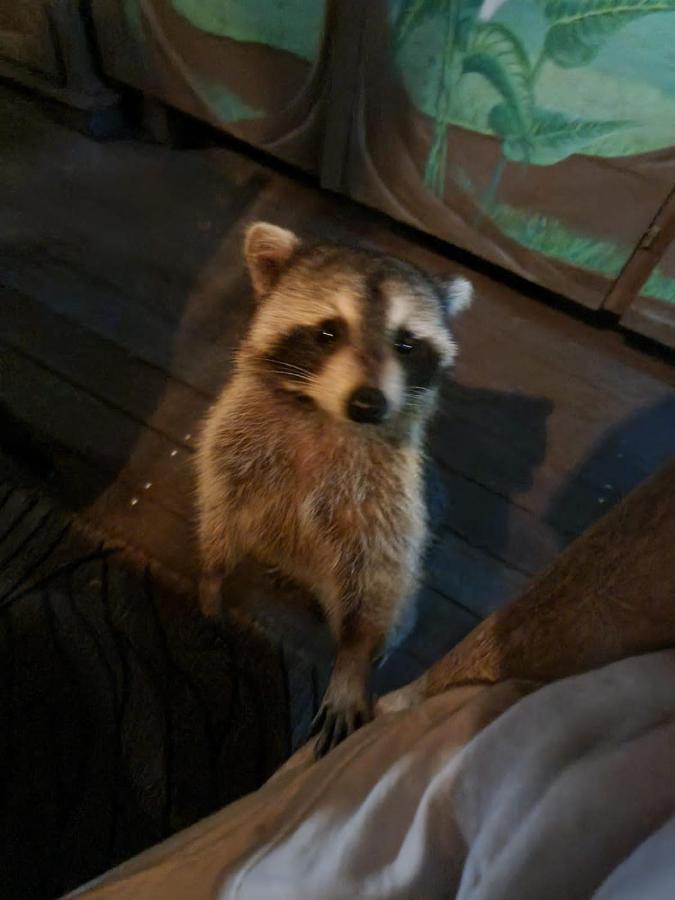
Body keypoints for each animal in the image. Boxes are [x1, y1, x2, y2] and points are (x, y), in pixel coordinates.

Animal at [194, 221, 470, 756]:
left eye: (407, 344)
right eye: (328, 332)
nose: (369, 403)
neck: (326, 417)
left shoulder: (392, 494)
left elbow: (380, 571)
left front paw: (354, 657)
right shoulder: (235, 437)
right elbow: (221, 508)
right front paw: (213, 576)